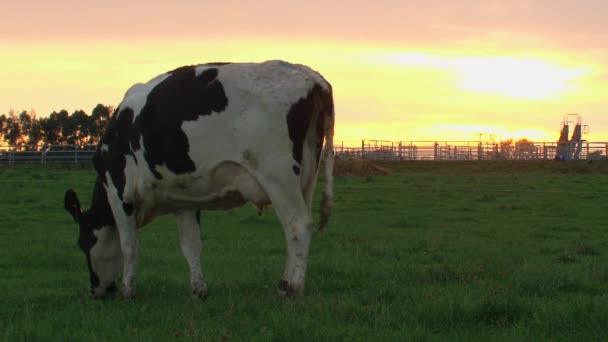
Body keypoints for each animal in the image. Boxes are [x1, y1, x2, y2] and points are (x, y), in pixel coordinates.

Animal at [64, 61, 334, 300]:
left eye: (83, 243)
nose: (95, 291)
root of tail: (313, 77)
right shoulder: (183, 199)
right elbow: (191, 245)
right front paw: (198, 290)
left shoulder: (120, 193)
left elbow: (129, 245)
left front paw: (127, 291)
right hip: (306, 177)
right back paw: (286, 281)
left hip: (278, 177)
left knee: (297, 225)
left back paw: (292, 289)